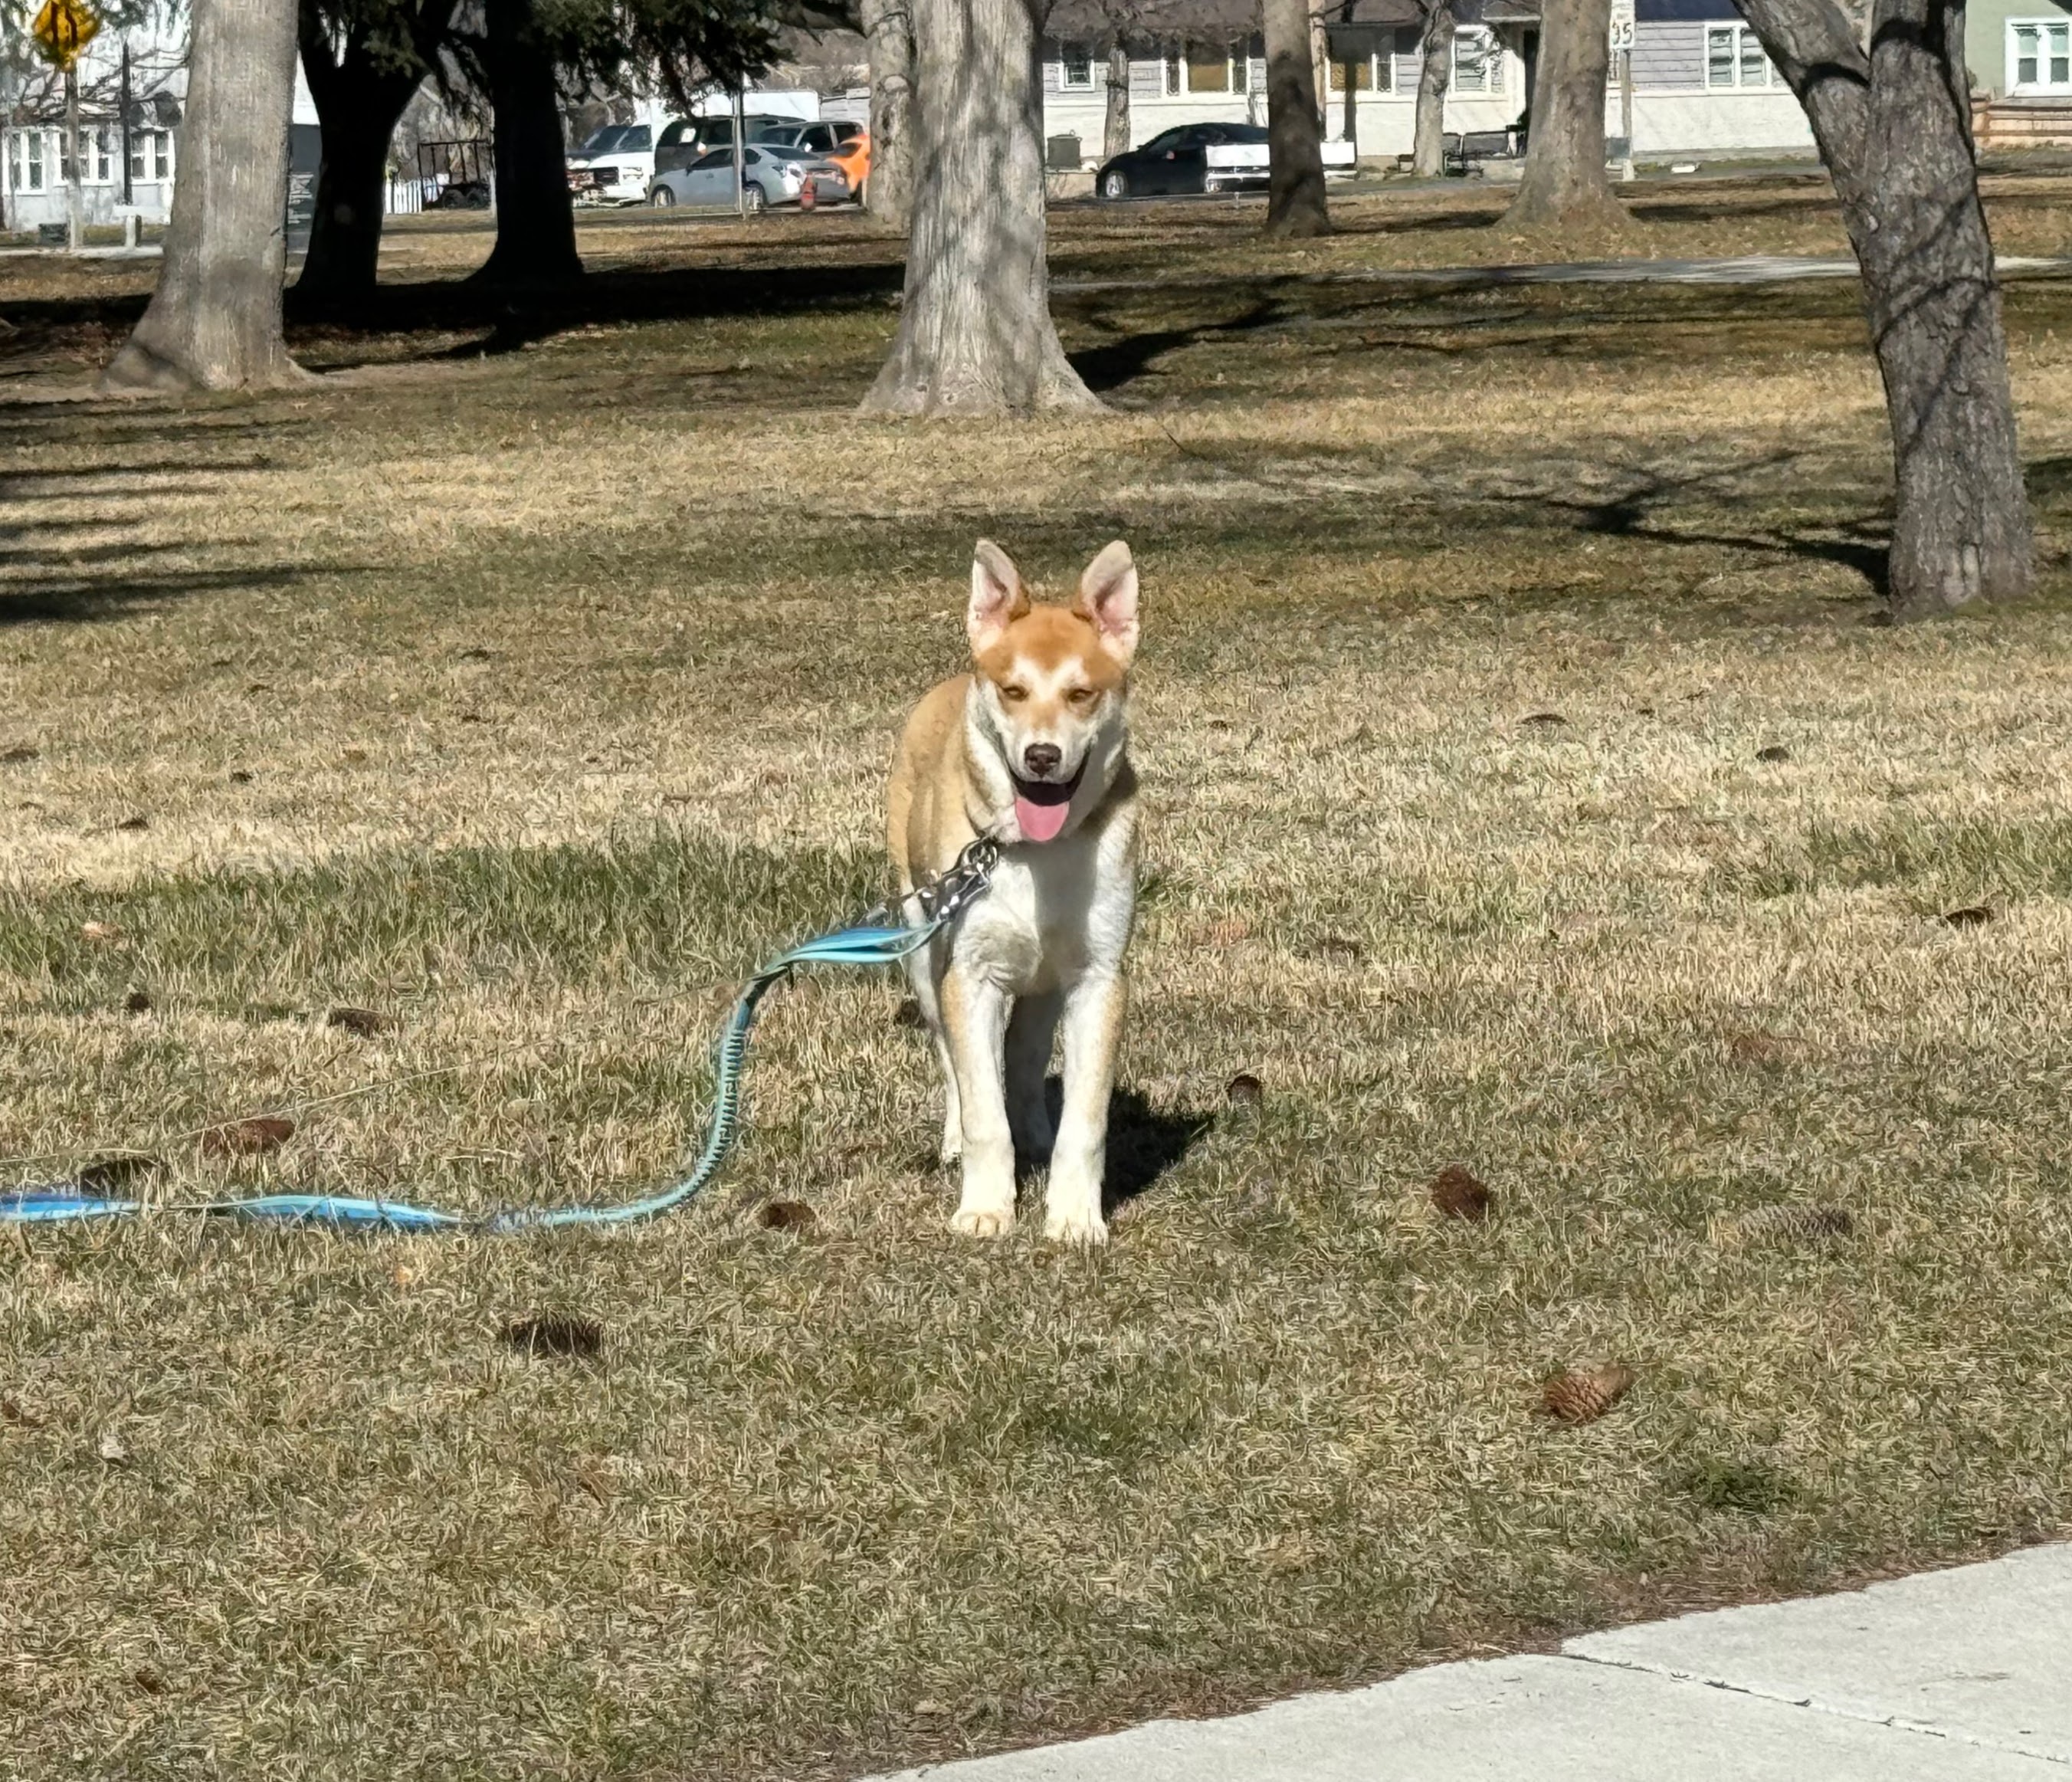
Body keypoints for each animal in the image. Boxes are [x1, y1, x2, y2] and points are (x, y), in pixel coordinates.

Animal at [887, 534, 1143, 1243]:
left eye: (1081, 693)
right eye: (1013, 690)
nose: (1042, 756)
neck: (1035, 852)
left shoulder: (1097, 979)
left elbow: (1085, 1120)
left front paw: (1075, 1216)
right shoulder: (967, 976)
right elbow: (982, 1110)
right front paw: (985, 1208)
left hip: (1043, 986)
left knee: (1026, 1063)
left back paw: (1035, 1132)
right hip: (922, 954)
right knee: (955, 1063)